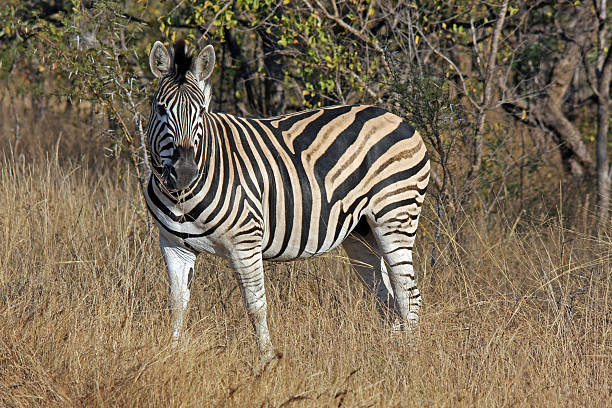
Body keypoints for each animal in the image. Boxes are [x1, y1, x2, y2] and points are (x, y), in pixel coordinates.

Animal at [145, 40, 430, 360]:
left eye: (201, 111)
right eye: (161, 109)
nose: (184, 172)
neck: (182, 197)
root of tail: (398, 118)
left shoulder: (245, 242)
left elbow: (256, 306)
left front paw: (267, 360)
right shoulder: (174, 245)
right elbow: (177, 305)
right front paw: (171, 355)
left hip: (395, 215)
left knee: (408, 295)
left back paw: (410, 358)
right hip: (363, 232)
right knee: (386, 297)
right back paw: (390, 354)